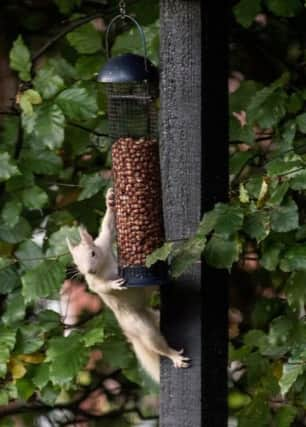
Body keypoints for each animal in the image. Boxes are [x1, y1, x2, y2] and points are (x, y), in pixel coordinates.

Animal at [66, 189, 189, 382]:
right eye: (76, 262)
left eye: (92, 253)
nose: (88, 270)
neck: (102, 267)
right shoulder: (92, 282)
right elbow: (100, 288)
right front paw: (114, 284)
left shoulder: (104, 243)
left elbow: (108, 228)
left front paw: (110, 200)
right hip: (139, 326)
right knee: (154, 343)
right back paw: (173, 355)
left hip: (151, 312)